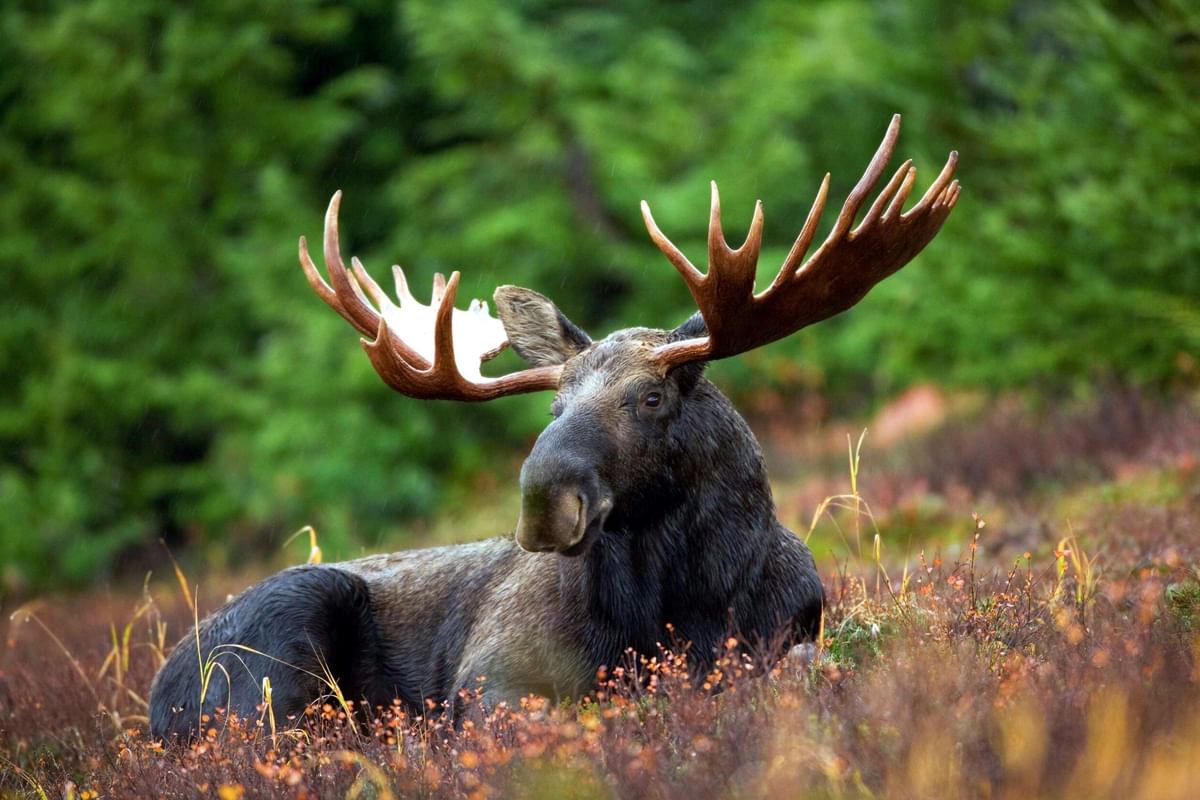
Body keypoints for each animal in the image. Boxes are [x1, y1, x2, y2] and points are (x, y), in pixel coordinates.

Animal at [149, 115, 959, 740]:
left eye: (651, 398)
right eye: (553, 407)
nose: (544, 501)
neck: (686, 603)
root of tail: (157, 697)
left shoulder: (790, 633)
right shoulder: (491, 677)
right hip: (281, 640)